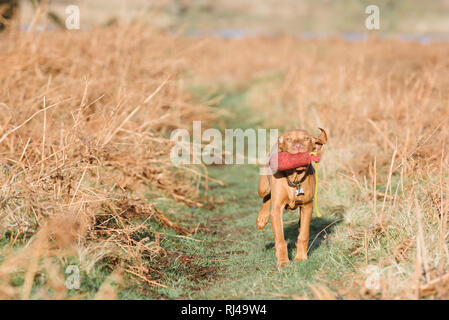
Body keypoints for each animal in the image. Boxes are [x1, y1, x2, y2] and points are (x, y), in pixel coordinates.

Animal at [256, 127, 326, 268]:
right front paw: (283, 261)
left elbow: (303, 235)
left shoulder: (307, 206)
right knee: (266, 196)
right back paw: (262, 218)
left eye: (306, 138)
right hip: (263, 187)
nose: (298, 145)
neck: (295, 178)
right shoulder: (277, 210)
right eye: (288, 139)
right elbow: (280, 239)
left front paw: (301, 257)